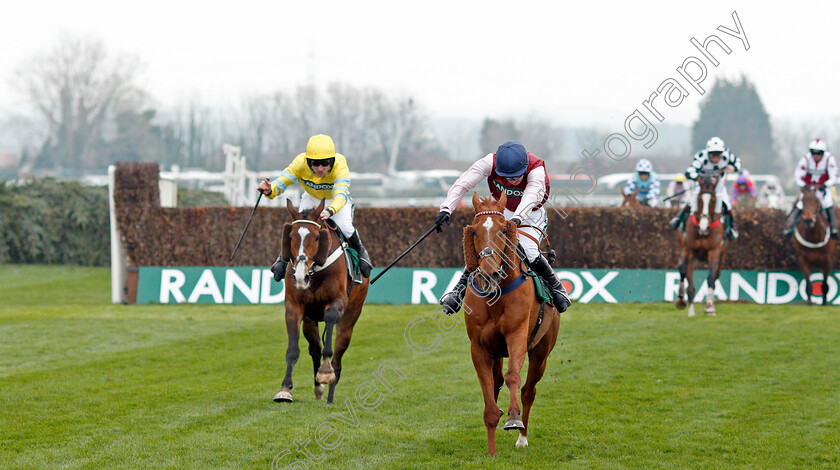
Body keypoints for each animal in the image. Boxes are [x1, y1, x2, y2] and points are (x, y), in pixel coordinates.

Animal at [274, 198, 370, 404]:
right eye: (290, 237)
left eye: (317, 237)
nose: (300, 278)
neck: (315, 272)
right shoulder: (294, 307)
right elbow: (293, 350)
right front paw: (284, 390)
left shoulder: (337, 302)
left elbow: (331, 329)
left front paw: (325, 372)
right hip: (310, 320)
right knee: (315, 349)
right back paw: (318, 388)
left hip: (351, 316)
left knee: (338, 354)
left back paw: (330, 393)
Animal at [462, 191, 560, 456]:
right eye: (474, 231)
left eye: (504, 229)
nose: (489, 273)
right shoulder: (479, 347)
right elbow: (488, 389)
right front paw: (491, 449)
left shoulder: (517, 336)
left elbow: (513, 376)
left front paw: (513, 419)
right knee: (496, 383)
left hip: (541, 352)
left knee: (528, 391)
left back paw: (522, 437)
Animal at [676, 174, 728, 318]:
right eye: (699, 198)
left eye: (713, 200)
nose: (703, 228)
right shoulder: (688, 249)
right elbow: (683, 270)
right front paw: (681, 300)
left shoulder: (714, 251)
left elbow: (711, 277)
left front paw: (709, 306)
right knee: (688, 278)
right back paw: (691, 310)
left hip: (722, 254)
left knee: (715, 276)